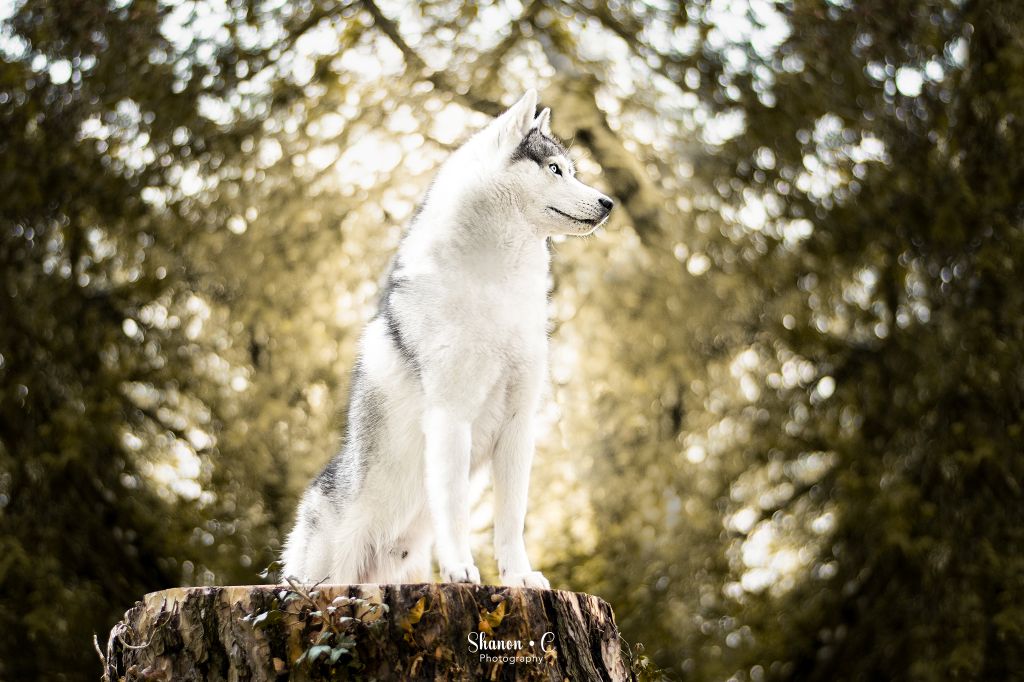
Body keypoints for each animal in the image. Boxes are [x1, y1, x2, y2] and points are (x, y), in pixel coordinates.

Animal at [280, 89, 610, 585]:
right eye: (555, 169)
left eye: (573, 171)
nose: (608, 202)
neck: (496, 285)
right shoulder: (451, 418)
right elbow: (454, 509)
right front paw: (460, 568)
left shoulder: (520, 424)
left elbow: (511, 519)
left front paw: (518, 576)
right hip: (327, 573)